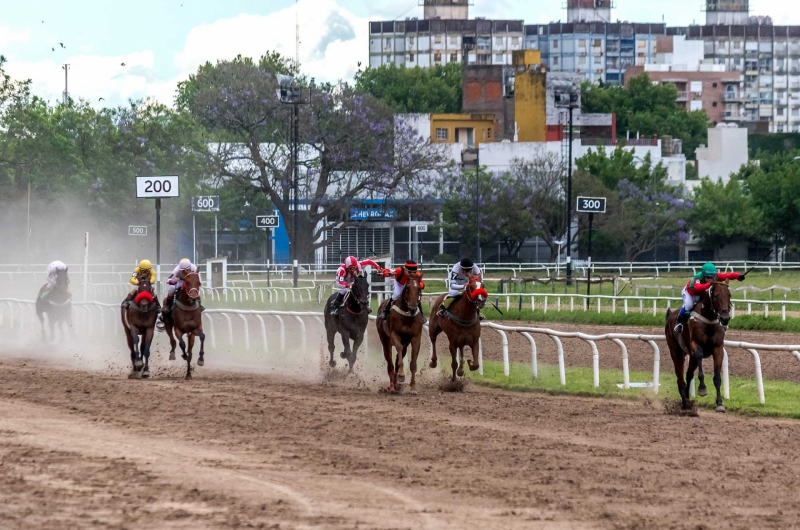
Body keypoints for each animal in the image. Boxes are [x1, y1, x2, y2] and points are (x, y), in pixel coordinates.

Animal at [664, 282, 732, 410]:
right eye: (716, 296)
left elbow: (717, 377)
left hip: (691, 357)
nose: (725, 318)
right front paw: (702, 388)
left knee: (688, 374)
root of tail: (670, 317)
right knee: (680, 378)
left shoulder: (718, 348)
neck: (709, 319)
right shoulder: (696, 346)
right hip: (676, 352)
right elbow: (700, 368)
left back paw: (687, 398)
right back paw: (685, 403)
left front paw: (719, 403)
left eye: (729, 295)